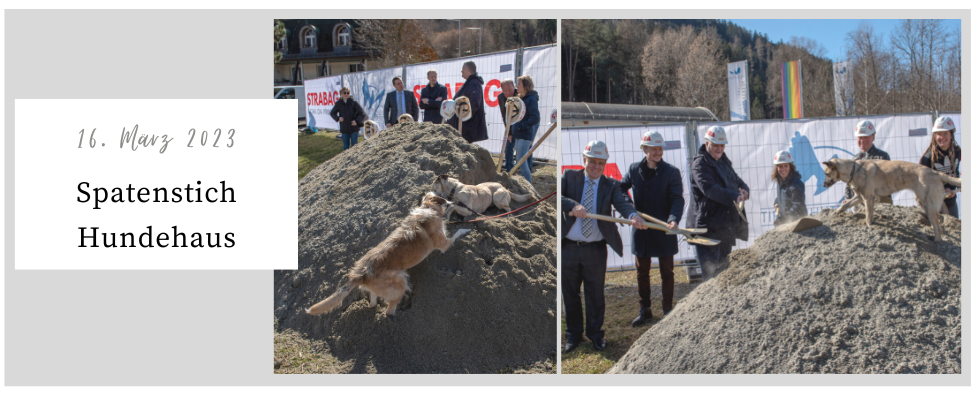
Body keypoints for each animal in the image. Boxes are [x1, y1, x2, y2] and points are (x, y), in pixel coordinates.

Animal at [306, 192, 470, 318]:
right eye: (445, 200)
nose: (453, 200)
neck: (427, 209)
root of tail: (360, 274)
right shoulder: (444, 244)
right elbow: (457, 233)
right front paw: (466, 229)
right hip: (400, 280)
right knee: (389, 311)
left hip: (377, 288)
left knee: (373, 303)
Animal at [816, 158, 960, 240]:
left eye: (826, 173)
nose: (823, 185)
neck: (854, 169)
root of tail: (935, 172)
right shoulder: (859, 197)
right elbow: (844, 205)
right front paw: (836, 212)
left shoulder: (868, 197)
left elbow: (868, 215)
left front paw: (869, 226)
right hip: (924, 204)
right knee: (939, 221)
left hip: (927, 203)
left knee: (938, 228)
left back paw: (936, 242)